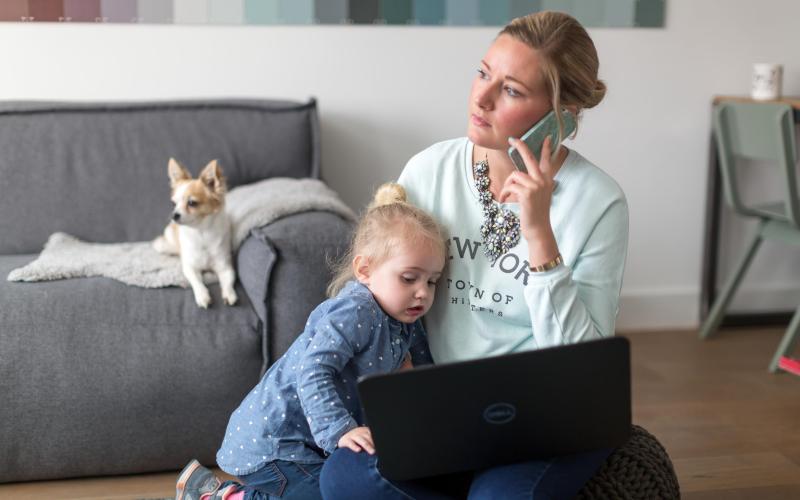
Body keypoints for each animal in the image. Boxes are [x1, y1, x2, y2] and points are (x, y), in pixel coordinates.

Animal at [154, 159, 238, 308]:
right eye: (173, 204)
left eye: (192, 203)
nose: (174, 215)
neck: (201, 232)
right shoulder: (190, 267)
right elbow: (197, 282)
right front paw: (202, 296)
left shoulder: (225, 266)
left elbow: (228, 281)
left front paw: (229, 294)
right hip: (166, 244)